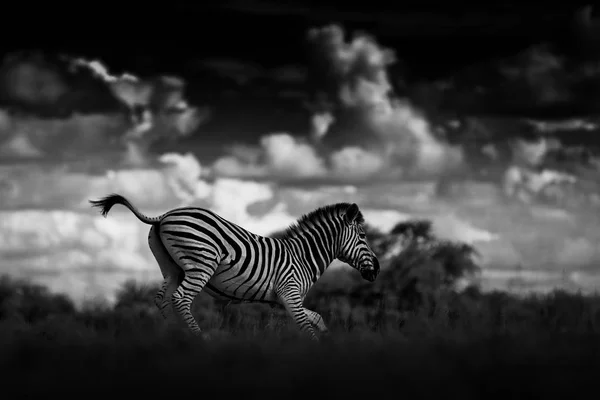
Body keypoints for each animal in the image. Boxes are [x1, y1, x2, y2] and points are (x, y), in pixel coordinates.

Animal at [89, 194, 380, 340]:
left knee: (162, 300)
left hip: (172, 269)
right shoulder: (290, 292)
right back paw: (199, 340)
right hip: (200, 264)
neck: (303, 256)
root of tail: (165, 215)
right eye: (363, 236)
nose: (376, 270)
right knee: (180, 299)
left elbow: (316, 318)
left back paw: (174, 337)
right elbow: (306, 327)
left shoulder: (280, 300)